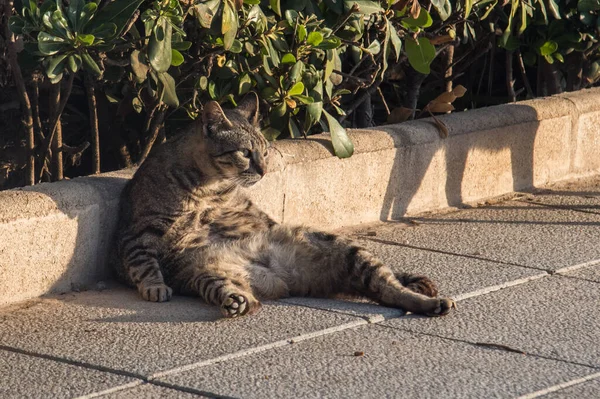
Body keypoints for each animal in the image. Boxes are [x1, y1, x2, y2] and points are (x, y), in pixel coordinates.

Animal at [113, 94, 454, 318]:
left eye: (264, 151)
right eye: (245, 153)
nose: (264, 170)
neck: (208, 186)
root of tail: (283, 279)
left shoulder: (257, 216)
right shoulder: (137, 233)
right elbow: (142, 263)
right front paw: (155, 287)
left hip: (344, 250)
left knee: (389, 286)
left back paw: (426, 299)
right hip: (203, 272)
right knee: (225, 289)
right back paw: (237, 301)